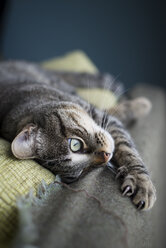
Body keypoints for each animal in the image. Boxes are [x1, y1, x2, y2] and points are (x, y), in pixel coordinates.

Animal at [0, 60, 156, 209]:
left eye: (75, 144)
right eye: (83, 171)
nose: (106, 156)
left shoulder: (101, 115)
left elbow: (127, 150)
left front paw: (141, 182)